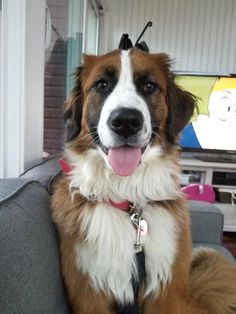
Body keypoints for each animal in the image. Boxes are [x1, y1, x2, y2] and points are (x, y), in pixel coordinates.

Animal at [51, 47, 236, 312]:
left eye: (149, 86)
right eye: (102, 84)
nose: (126, 121)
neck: (127, 195)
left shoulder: (166, 290)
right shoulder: (88, 293)